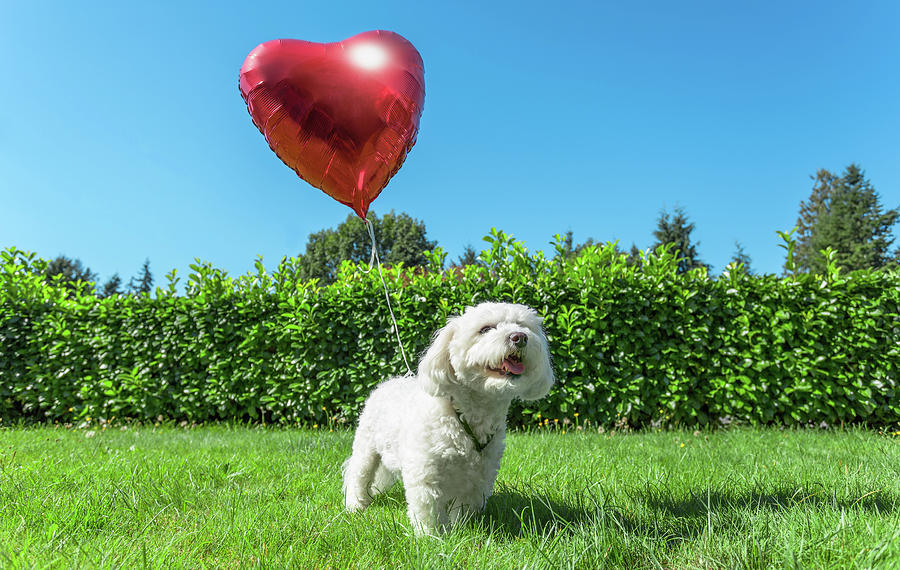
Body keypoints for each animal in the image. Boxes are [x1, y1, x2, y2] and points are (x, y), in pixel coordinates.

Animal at [344, 302, 556, 532]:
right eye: (485, 329)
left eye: (522, 326)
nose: (520, 337)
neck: (465, 415)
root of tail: (389, 382)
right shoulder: (425, 471)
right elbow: (428, 507)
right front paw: (430, 535)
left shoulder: (479, 476)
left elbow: (464, 507)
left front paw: (461, 530)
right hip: (366, 447)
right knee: (358, 474)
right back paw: (355, 505)